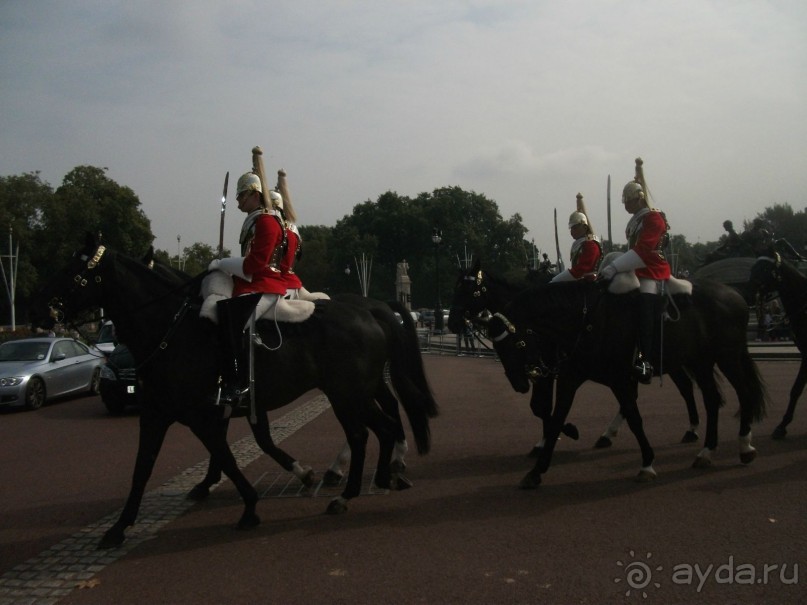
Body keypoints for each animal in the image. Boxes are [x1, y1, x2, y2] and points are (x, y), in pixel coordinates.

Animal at [33, 236, 436, 548]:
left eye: (74, 272)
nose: (37, 309)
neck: (170, 329)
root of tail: (371, 310)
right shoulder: (162, 413)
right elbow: (144, 468)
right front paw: (119, 527)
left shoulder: (203, 414)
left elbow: (227, 455)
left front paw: (250, 505)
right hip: (351, 394)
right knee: (375, 428)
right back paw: (371, 480)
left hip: (348, 394)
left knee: (372, 429)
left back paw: (362, 483)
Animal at [448, 260, 700, 448]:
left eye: (467, 289)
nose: (452, 322)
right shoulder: (544, 370)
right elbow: (539, 406)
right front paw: (549, 437)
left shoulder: (549, 370)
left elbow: (540, 406)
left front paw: (562, 432)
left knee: (684, 387)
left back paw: (691, 430)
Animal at [482, 278, 768, 486]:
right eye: (497, 347)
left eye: (516, 343)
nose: (519, 384)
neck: (584, 320)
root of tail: (735, 294)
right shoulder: (570, 378)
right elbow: (555, 418)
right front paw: (537, 470)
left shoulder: (619, 379)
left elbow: (634, 417)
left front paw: (647, 463)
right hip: (701, 362)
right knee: (711, 399)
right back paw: (706, 451)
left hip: (726, 357)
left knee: (743, 393)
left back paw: (744, 446)